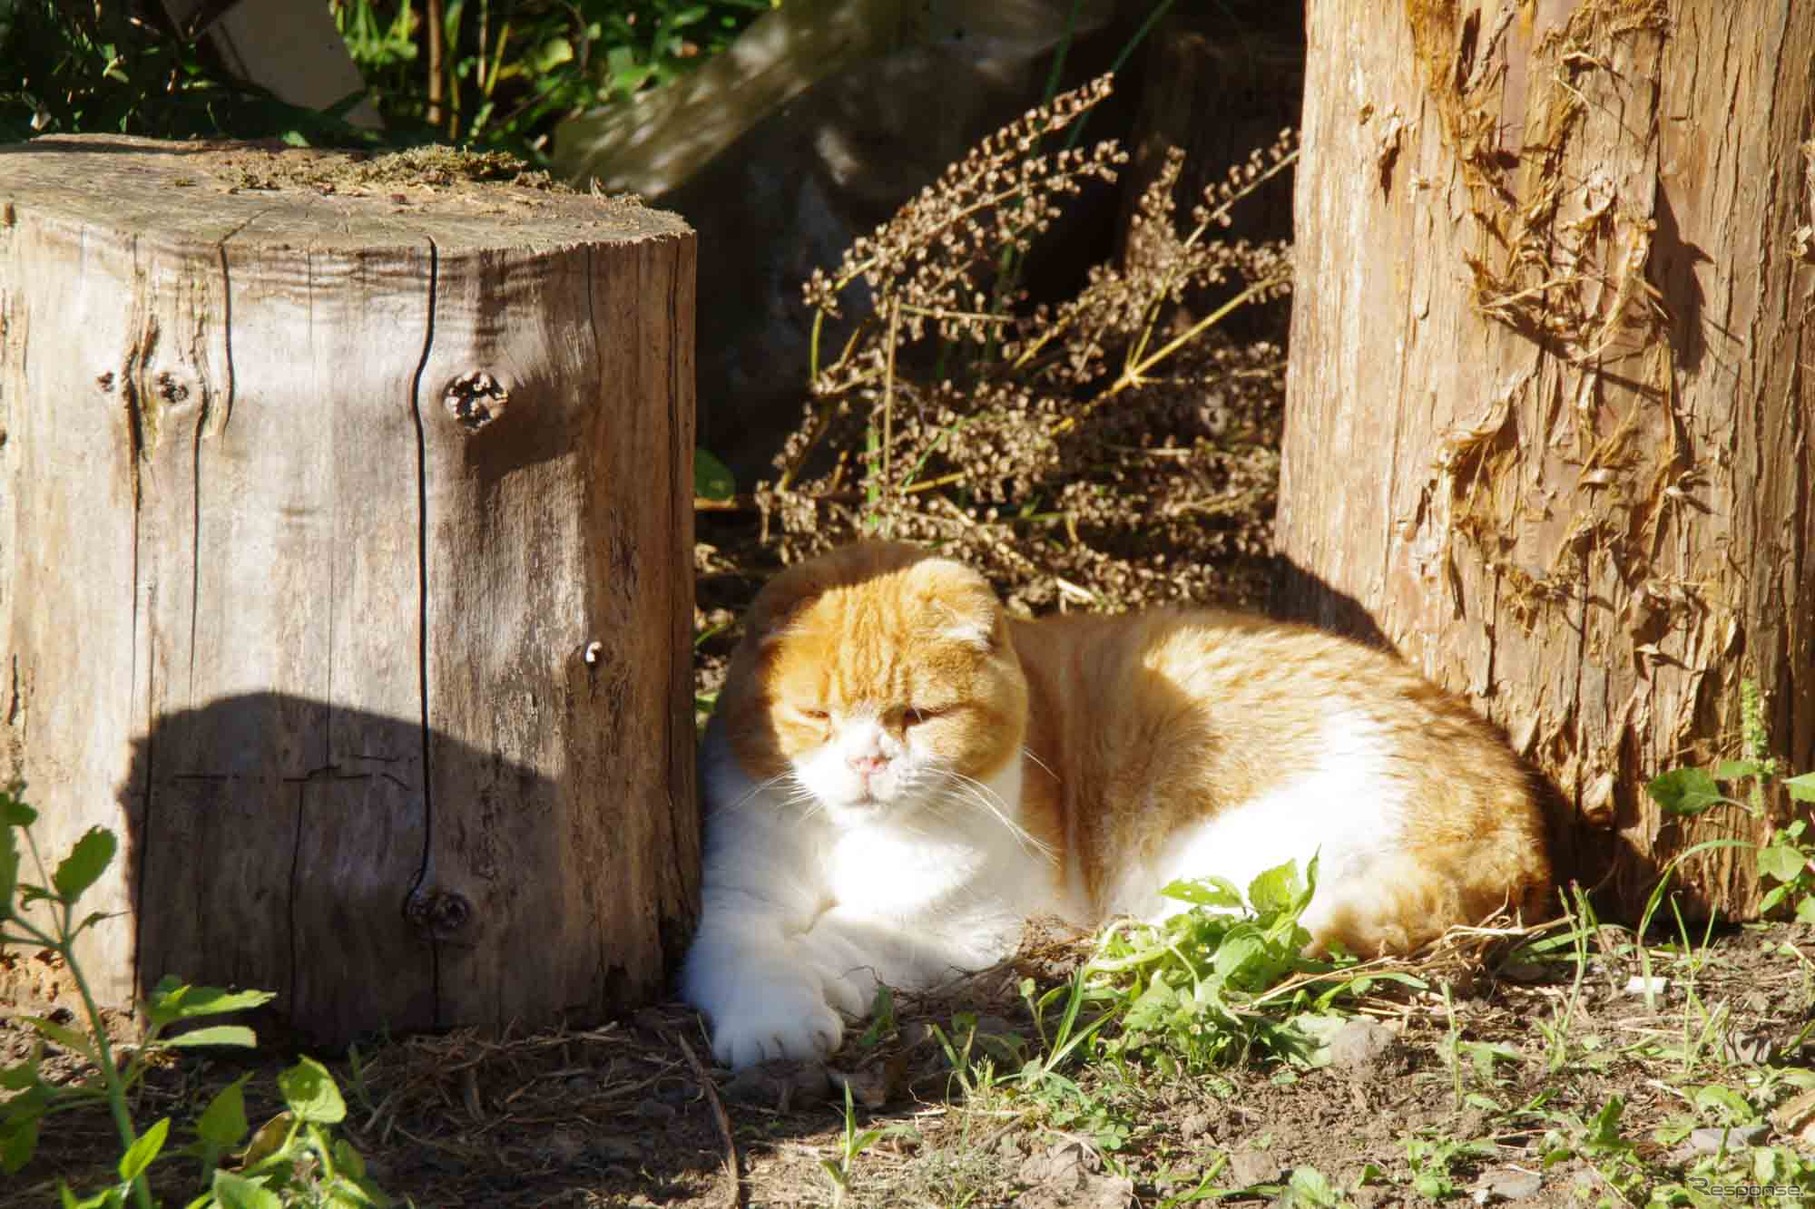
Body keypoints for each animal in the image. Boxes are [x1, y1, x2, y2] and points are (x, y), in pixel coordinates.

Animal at [682, 544, 1546, 1067]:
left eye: (918, 715)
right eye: (816, 716)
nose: (866, 760)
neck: (854, 842)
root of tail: (1516, 818)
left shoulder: (977, 925)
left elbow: (856, 932)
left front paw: (829, 973)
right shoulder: (732, 899)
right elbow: (751, 949)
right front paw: (774, 1024)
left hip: (1230, 854)